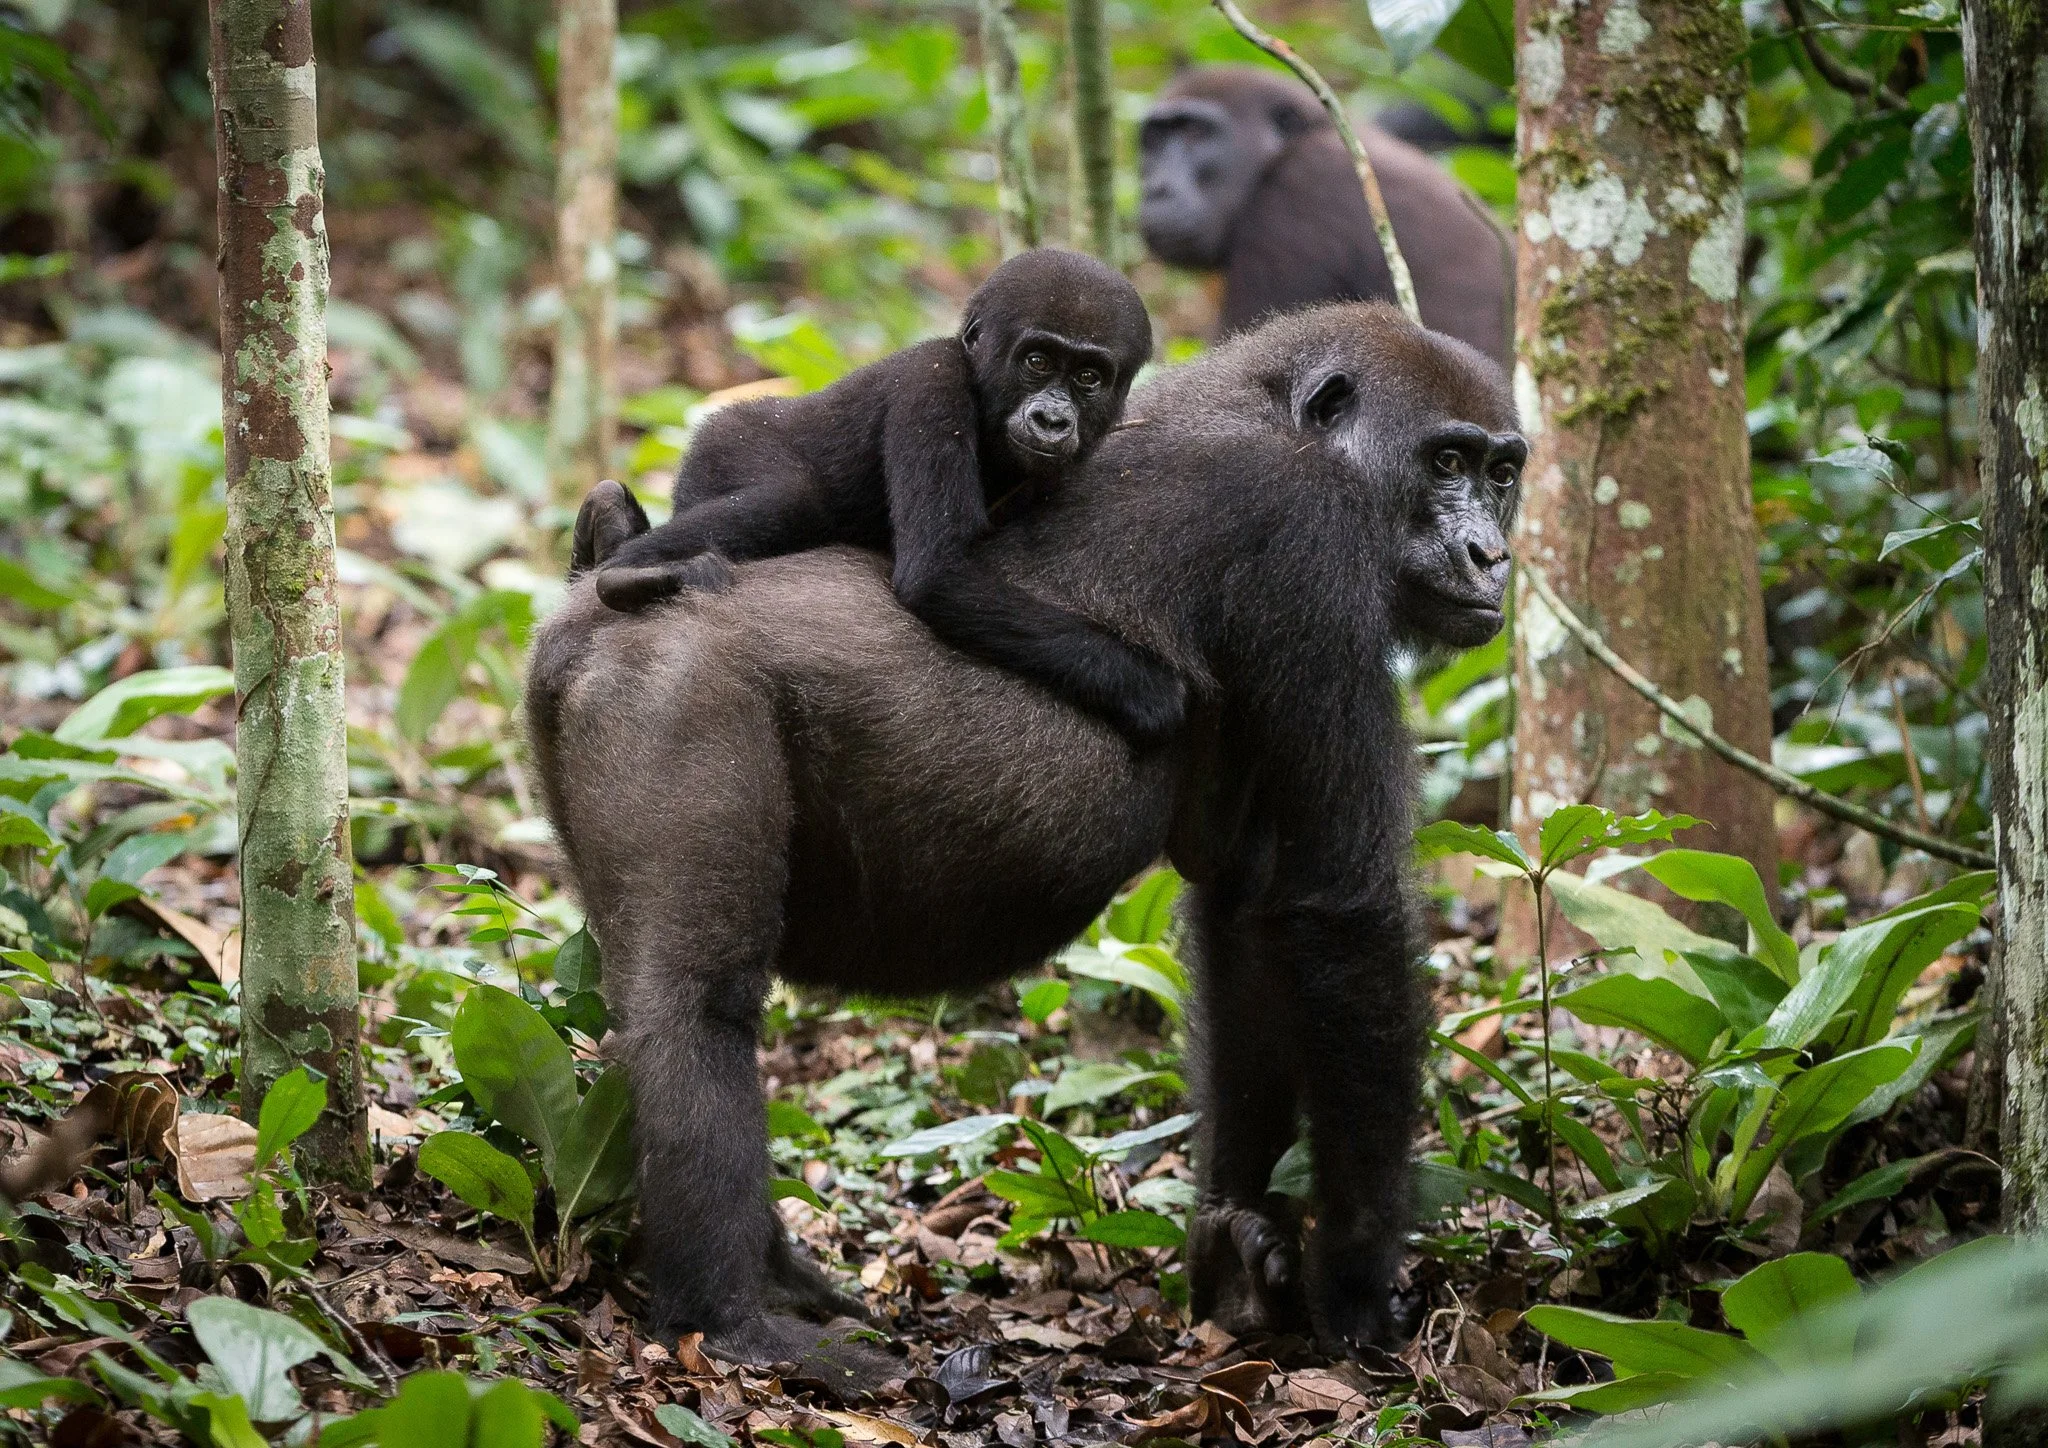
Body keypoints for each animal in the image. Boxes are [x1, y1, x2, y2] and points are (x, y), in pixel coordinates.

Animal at [530, 302, 1523, 1371]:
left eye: (1503, 474)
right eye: (1446, 462)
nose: (1491, 557)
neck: (1273, 409)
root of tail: (586, 609)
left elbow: (1249, 910)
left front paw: (1234, 1246)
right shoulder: (1312, 539)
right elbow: (1343, 910)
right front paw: (1355, 1281)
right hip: (679, 689)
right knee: (696, 1007)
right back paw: (731, 1320)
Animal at [586, 248, 1184, 743]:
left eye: (1089, 377)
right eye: (1037, 361)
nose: (1052, 419)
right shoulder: (932, 385)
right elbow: (938, 573)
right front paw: (1145, 687)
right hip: (726, 443)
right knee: (792, 498)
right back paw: (629, 571)